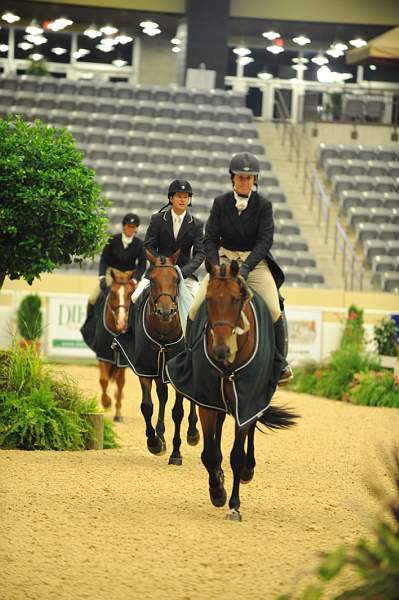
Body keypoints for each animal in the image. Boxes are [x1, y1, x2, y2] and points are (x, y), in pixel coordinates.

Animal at [98, 268, 138, 422]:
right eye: (113, 293)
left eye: (130, 293)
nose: (122, 323)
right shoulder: (103, 354)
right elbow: (103, 380)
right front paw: (106, 402)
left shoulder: (122, 359)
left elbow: (120, 383)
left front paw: (117, 410)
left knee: (120, 383)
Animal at [112, 248, 200, 464]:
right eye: (152, 279)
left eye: (176, 279)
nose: (165, 311)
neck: (164, 330)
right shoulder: (145, 368)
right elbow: (147, 406)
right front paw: (154, 443)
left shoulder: (176, 371)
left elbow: (178, 412)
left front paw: (176, 453)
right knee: (162, 395)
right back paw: (161, 435)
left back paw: (192, 434)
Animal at [167, 262, 298, 520]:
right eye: (208, 299)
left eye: (237, 299)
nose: (221, 350)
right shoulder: (207, 399)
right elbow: (209, 453)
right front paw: (217, 490)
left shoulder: (246, 400)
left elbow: (236, 455)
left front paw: (234, 505)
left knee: (252, 430)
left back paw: (248, 470)